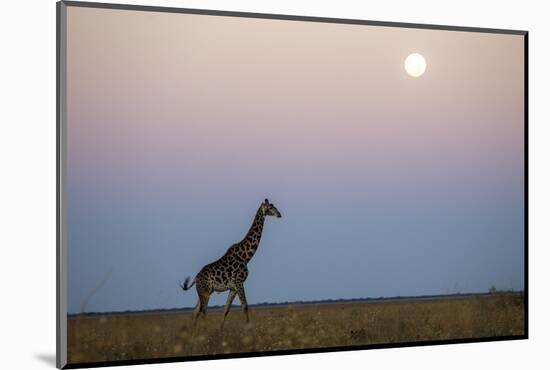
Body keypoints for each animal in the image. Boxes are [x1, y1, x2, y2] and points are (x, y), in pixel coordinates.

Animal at [181, 198, 282, 328]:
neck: (246, 256)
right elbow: (245, 306)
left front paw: (220, 329)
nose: (279, 214)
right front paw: (248, 327)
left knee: (195, 311)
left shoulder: (233, 287)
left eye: (274, 206)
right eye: (270, 207)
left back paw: (194, 332)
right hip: (205, 291)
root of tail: (195, 278)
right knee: (203, 310)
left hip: (205, 291)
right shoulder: (239, 282)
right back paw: (204, 330)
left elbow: (226, 309)